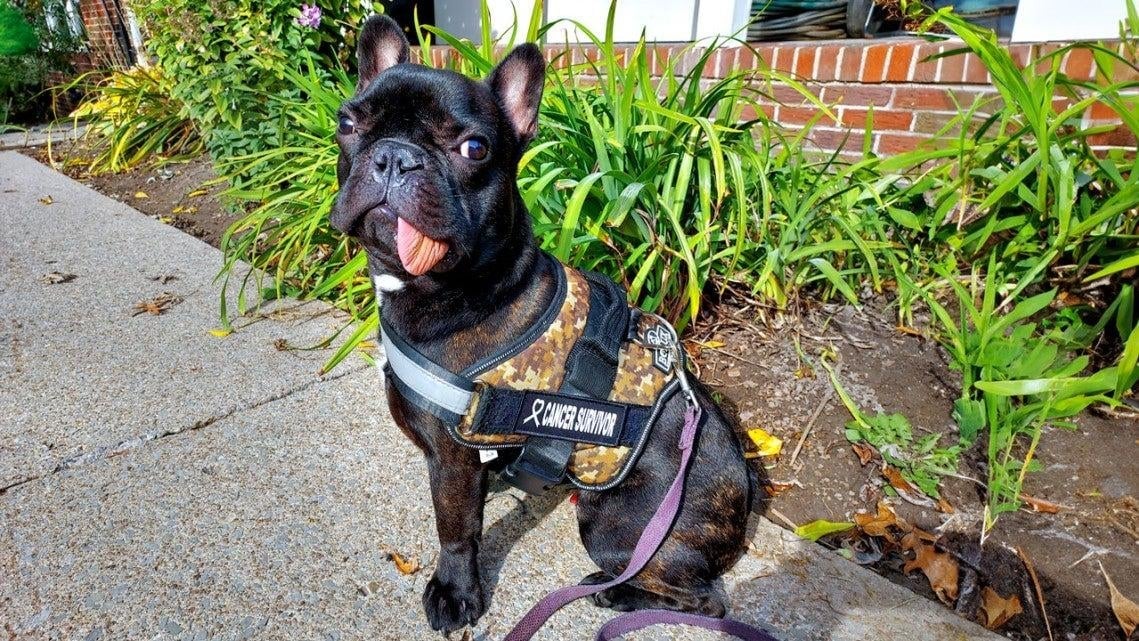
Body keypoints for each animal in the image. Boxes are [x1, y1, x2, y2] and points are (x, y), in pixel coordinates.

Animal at [330, 16, 760, 637]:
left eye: (474, 148)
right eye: (348, 124)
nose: (394, 156)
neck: (463, 285)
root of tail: (743, 502)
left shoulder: (454, 456)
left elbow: (456, 528)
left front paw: (455, 592)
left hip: (615, 525)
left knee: (701, 599)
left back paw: (615, 594)